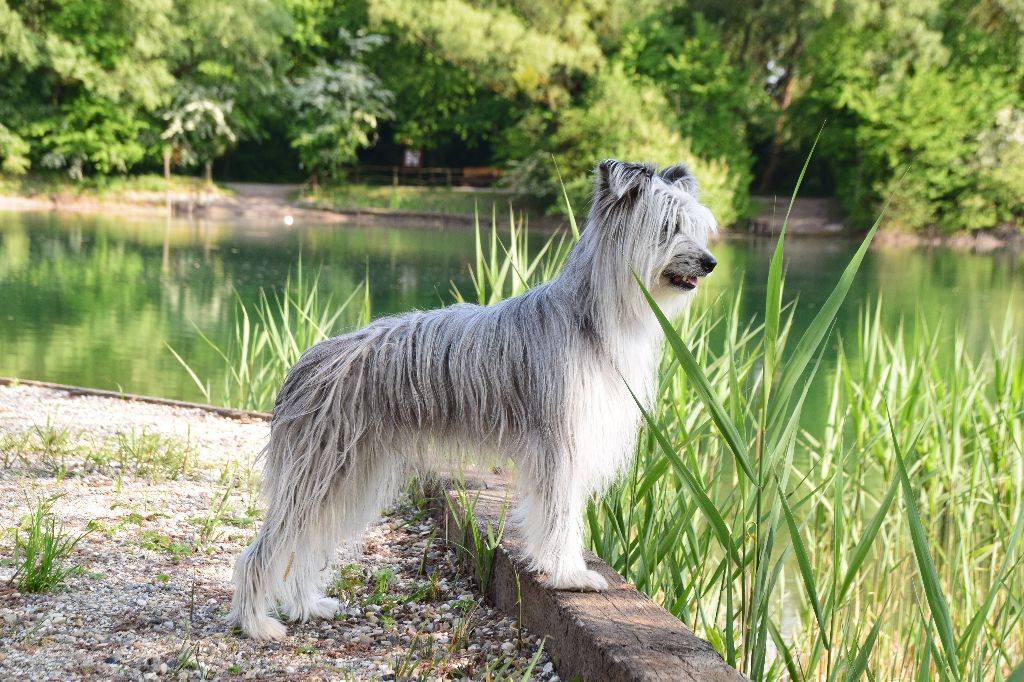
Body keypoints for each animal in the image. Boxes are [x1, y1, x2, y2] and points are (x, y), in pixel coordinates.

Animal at [228, 157, 716, 638]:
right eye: (668, 226)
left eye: (695, 226)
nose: (710, 262)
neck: (592, 318)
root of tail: (308, 360)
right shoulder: (560, 445)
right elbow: (561, 517)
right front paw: (571, 575)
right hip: (321, 470)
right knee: (264, 550)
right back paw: (257, 624)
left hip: (350, 473)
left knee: (304, 545)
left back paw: (307, 606)